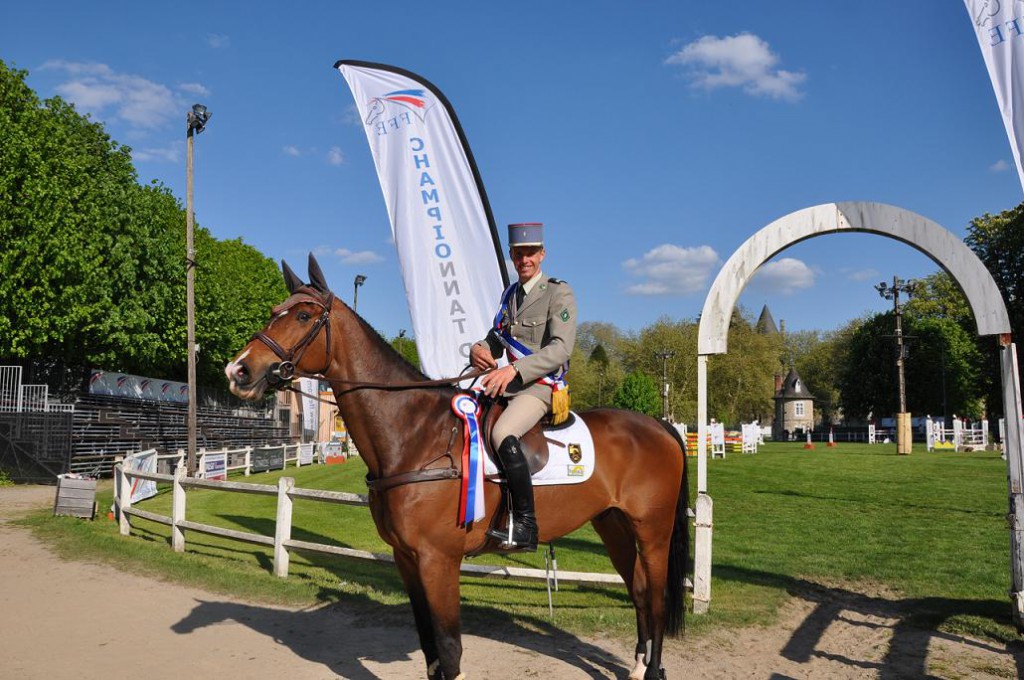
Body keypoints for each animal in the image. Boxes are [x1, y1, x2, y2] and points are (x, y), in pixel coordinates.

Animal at [224, 256, 688, 680]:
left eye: (303, 316)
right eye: (274, 311)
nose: (238, 369)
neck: (414, 434)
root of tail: (659, 425)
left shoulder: (438, 560)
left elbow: (448, 647)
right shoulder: (407, 558)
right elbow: (430, 646)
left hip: (652, 530)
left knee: (656, 596)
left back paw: (653, 671)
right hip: (613, 524)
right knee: (638, 590)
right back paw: (637, 666)